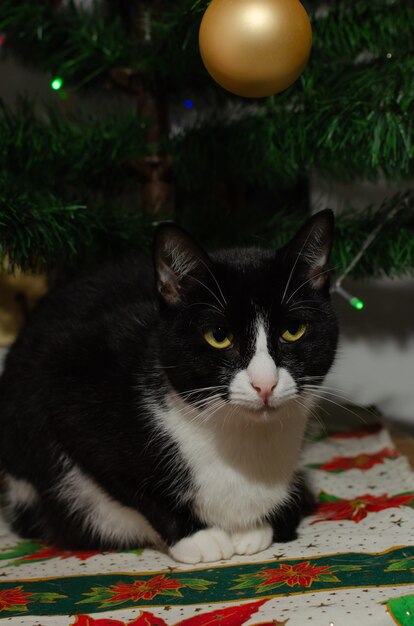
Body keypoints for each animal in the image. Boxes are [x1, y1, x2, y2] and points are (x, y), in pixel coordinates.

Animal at [0, 208, 336, 560]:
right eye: (218, 335)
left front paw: (253, 528)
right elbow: (131, 485)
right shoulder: (66, 389)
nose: (265, 384)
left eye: (293, 330)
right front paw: (197, 536)